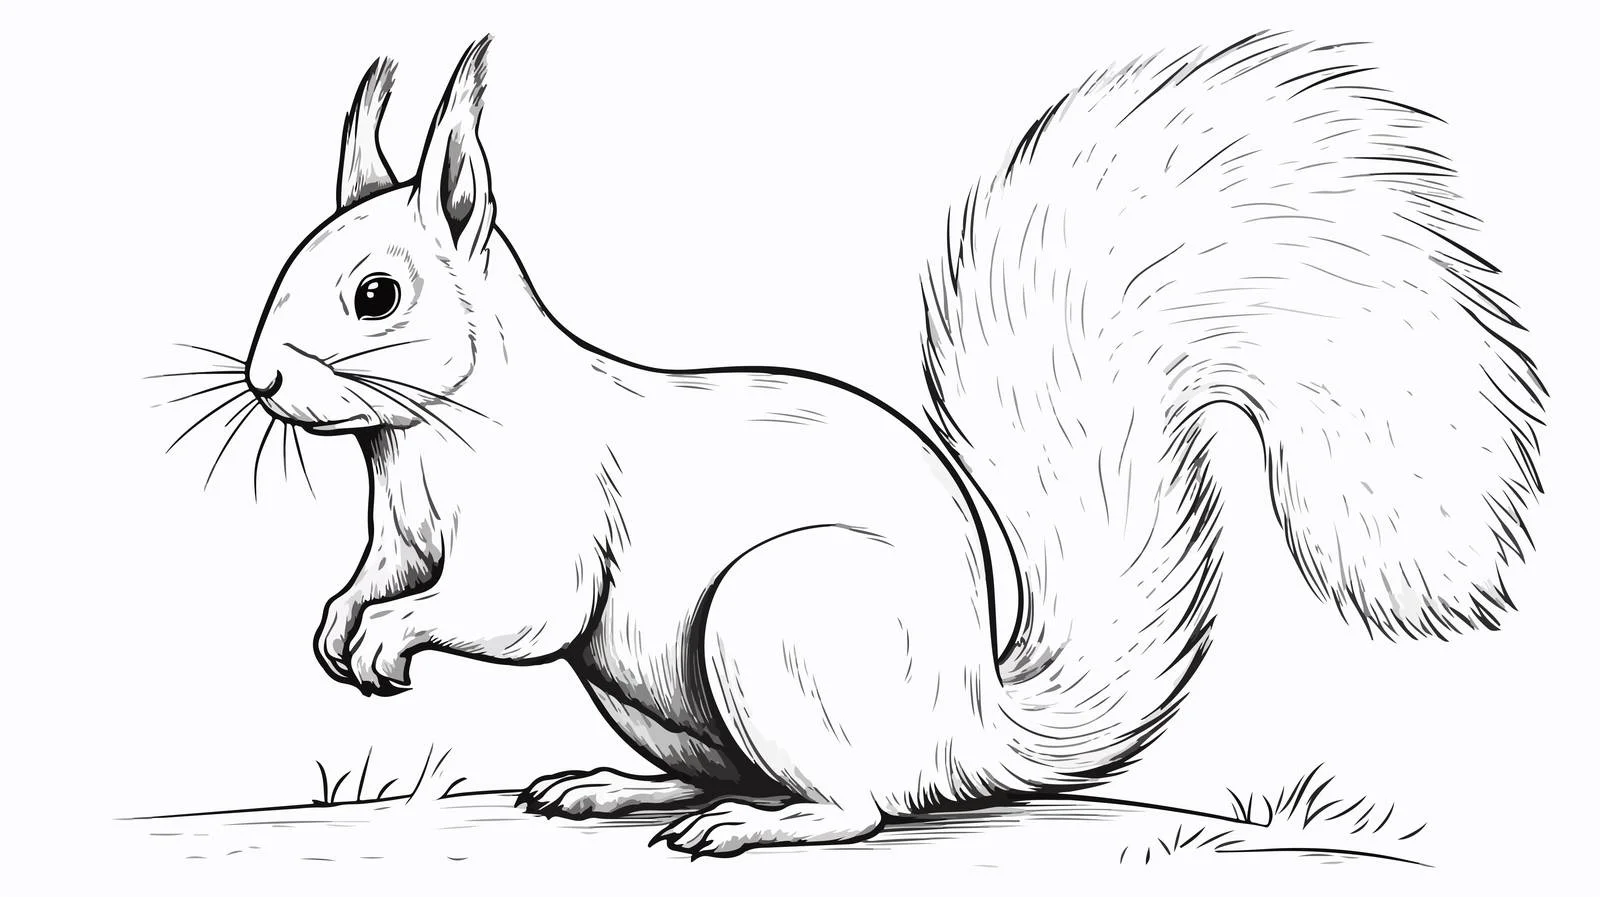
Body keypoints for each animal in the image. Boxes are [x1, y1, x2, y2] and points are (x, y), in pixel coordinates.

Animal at [235, 33, 1544, 856]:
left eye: (374, 295)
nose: (263, 381)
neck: (422, 435)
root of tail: (968, 725)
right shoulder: (403, 528)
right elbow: (380, 574)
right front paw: (337, 629)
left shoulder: (539, 518)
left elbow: (509, 609)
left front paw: (389, 640)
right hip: (661, 695)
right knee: (730, 765)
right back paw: (614, 788)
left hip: (781, 619)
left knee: (856, 803)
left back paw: (755, 829)